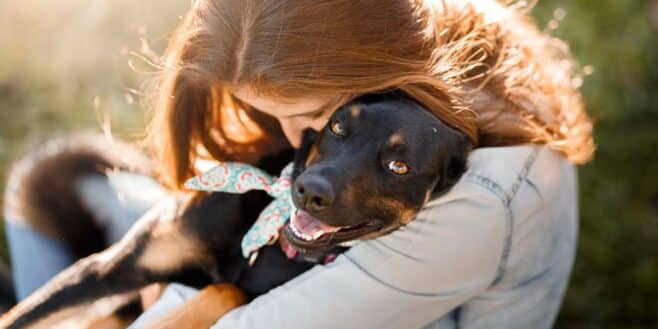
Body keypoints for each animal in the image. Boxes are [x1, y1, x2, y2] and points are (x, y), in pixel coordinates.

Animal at [0, 91, 472, 326]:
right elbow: (21, 318)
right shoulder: (106, 270)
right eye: (339, 126)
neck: (266, 239)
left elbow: (226, 290)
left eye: (399, 165)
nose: (307, 191)